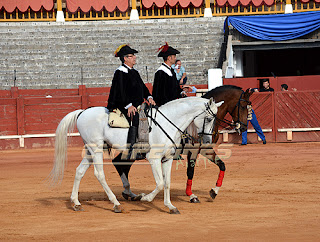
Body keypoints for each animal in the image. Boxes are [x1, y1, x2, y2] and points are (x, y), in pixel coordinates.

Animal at [50, 96, 222, 214]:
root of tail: (82, 112)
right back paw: (116, 203)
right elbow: (160, 183)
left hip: (89, 150)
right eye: (208, 118)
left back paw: (76, 202)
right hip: (96, 149)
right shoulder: (154, 159)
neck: (167, 123)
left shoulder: (167, 159)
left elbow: (167, 183)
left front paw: (170, 206)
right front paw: (145, 198)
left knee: (79, 171)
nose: (208, 141)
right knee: (99, 174)